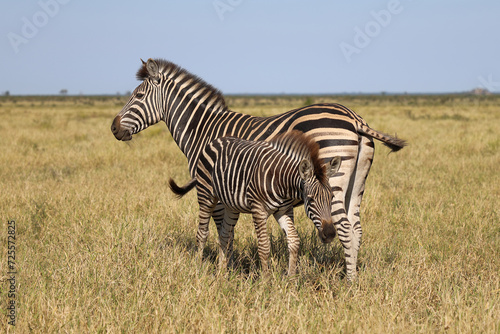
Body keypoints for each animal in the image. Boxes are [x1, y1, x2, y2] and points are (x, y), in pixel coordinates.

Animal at [170, 131, 342, 276]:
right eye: (310, 199)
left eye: (332, 197)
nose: (330, 234)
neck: (282, 181)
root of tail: (216, 140)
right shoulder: (258, 209)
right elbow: (264, 246)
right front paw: (266, 281)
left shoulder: (284, 210)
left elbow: (294, 241)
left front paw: (291, 279)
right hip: (206, 196)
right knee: (202, 233)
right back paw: (197, 268)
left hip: (231, 206)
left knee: (225, 235)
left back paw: (221, 273)